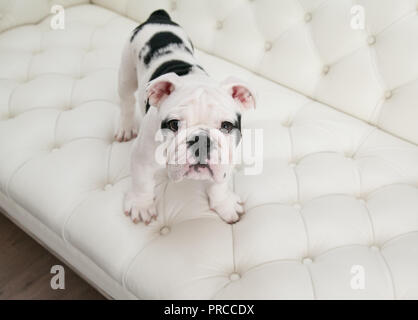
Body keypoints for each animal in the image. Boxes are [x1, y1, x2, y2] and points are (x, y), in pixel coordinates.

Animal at [116, 10, 256, 225]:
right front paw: (141, 205)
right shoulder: (142, 157)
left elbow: (220, 185)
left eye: (226, 126)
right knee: (126, 100)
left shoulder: (227, 157)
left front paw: (224, 204)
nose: (202, 140)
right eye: (174, 124)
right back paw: (125, 126)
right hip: (126, 70)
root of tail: (158, 17)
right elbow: (142, 182)